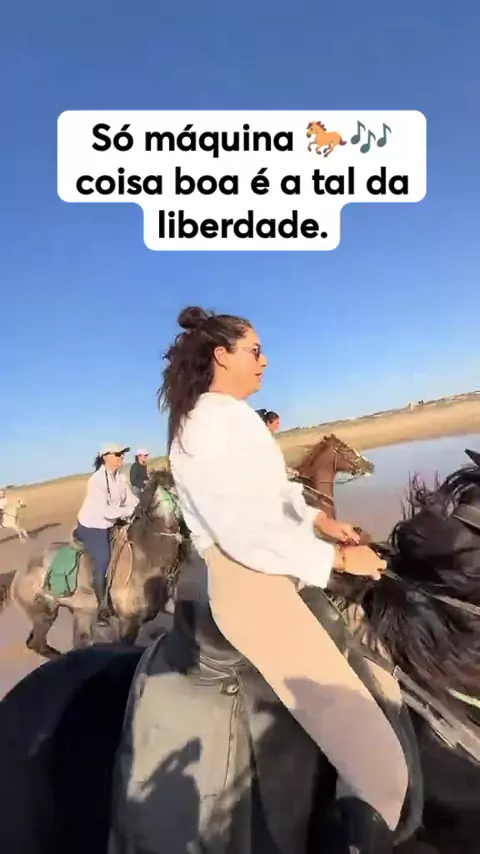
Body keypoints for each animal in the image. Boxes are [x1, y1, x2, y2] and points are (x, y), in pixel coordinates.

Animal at [0, 469, 188, 657]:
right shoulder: (128, 621)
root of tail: (19, 575)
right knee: (37, 643)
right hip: (45, 614)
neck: (146, 558)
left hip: (78, 611)